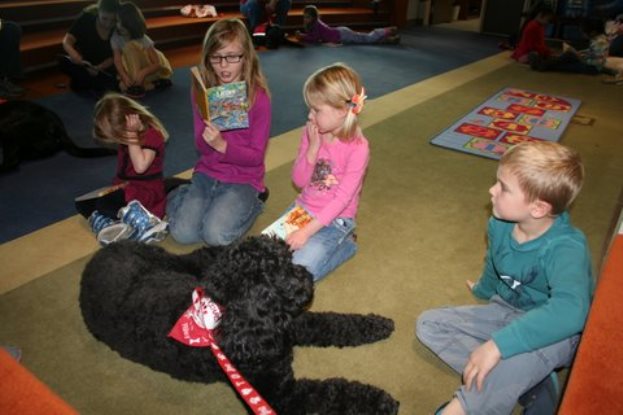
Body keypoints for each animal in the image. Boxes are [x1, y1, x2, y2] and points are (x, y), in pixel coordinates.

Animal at [80, 236, 400, 414]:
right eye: (271, 278)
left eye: (286, 260)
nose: (307, 279)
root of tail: (97, 257)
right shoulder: (279, 394)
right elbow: (334, 392)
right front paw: (379, 400)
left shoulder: (290, 326)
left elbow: (334, 324)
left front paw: (375, 325)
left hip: (181, 264)